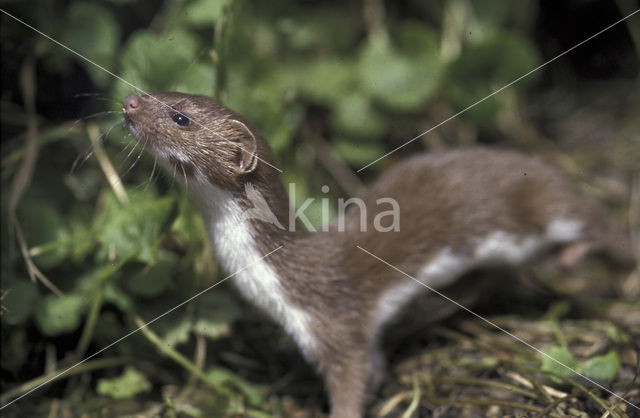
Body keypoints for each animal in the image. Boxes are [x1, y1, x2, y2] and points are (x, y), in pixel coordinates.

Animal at [121, 92, 636, 418]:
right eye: (162, 90)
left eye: (180, 116)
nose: (128, 102)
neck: (275, 281)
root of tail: (536, 160)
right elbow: (374, 363)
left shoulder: (334, 323)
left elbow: (354, 377)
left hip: (545, 206)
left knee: (598, 222)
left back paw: (579, 253)